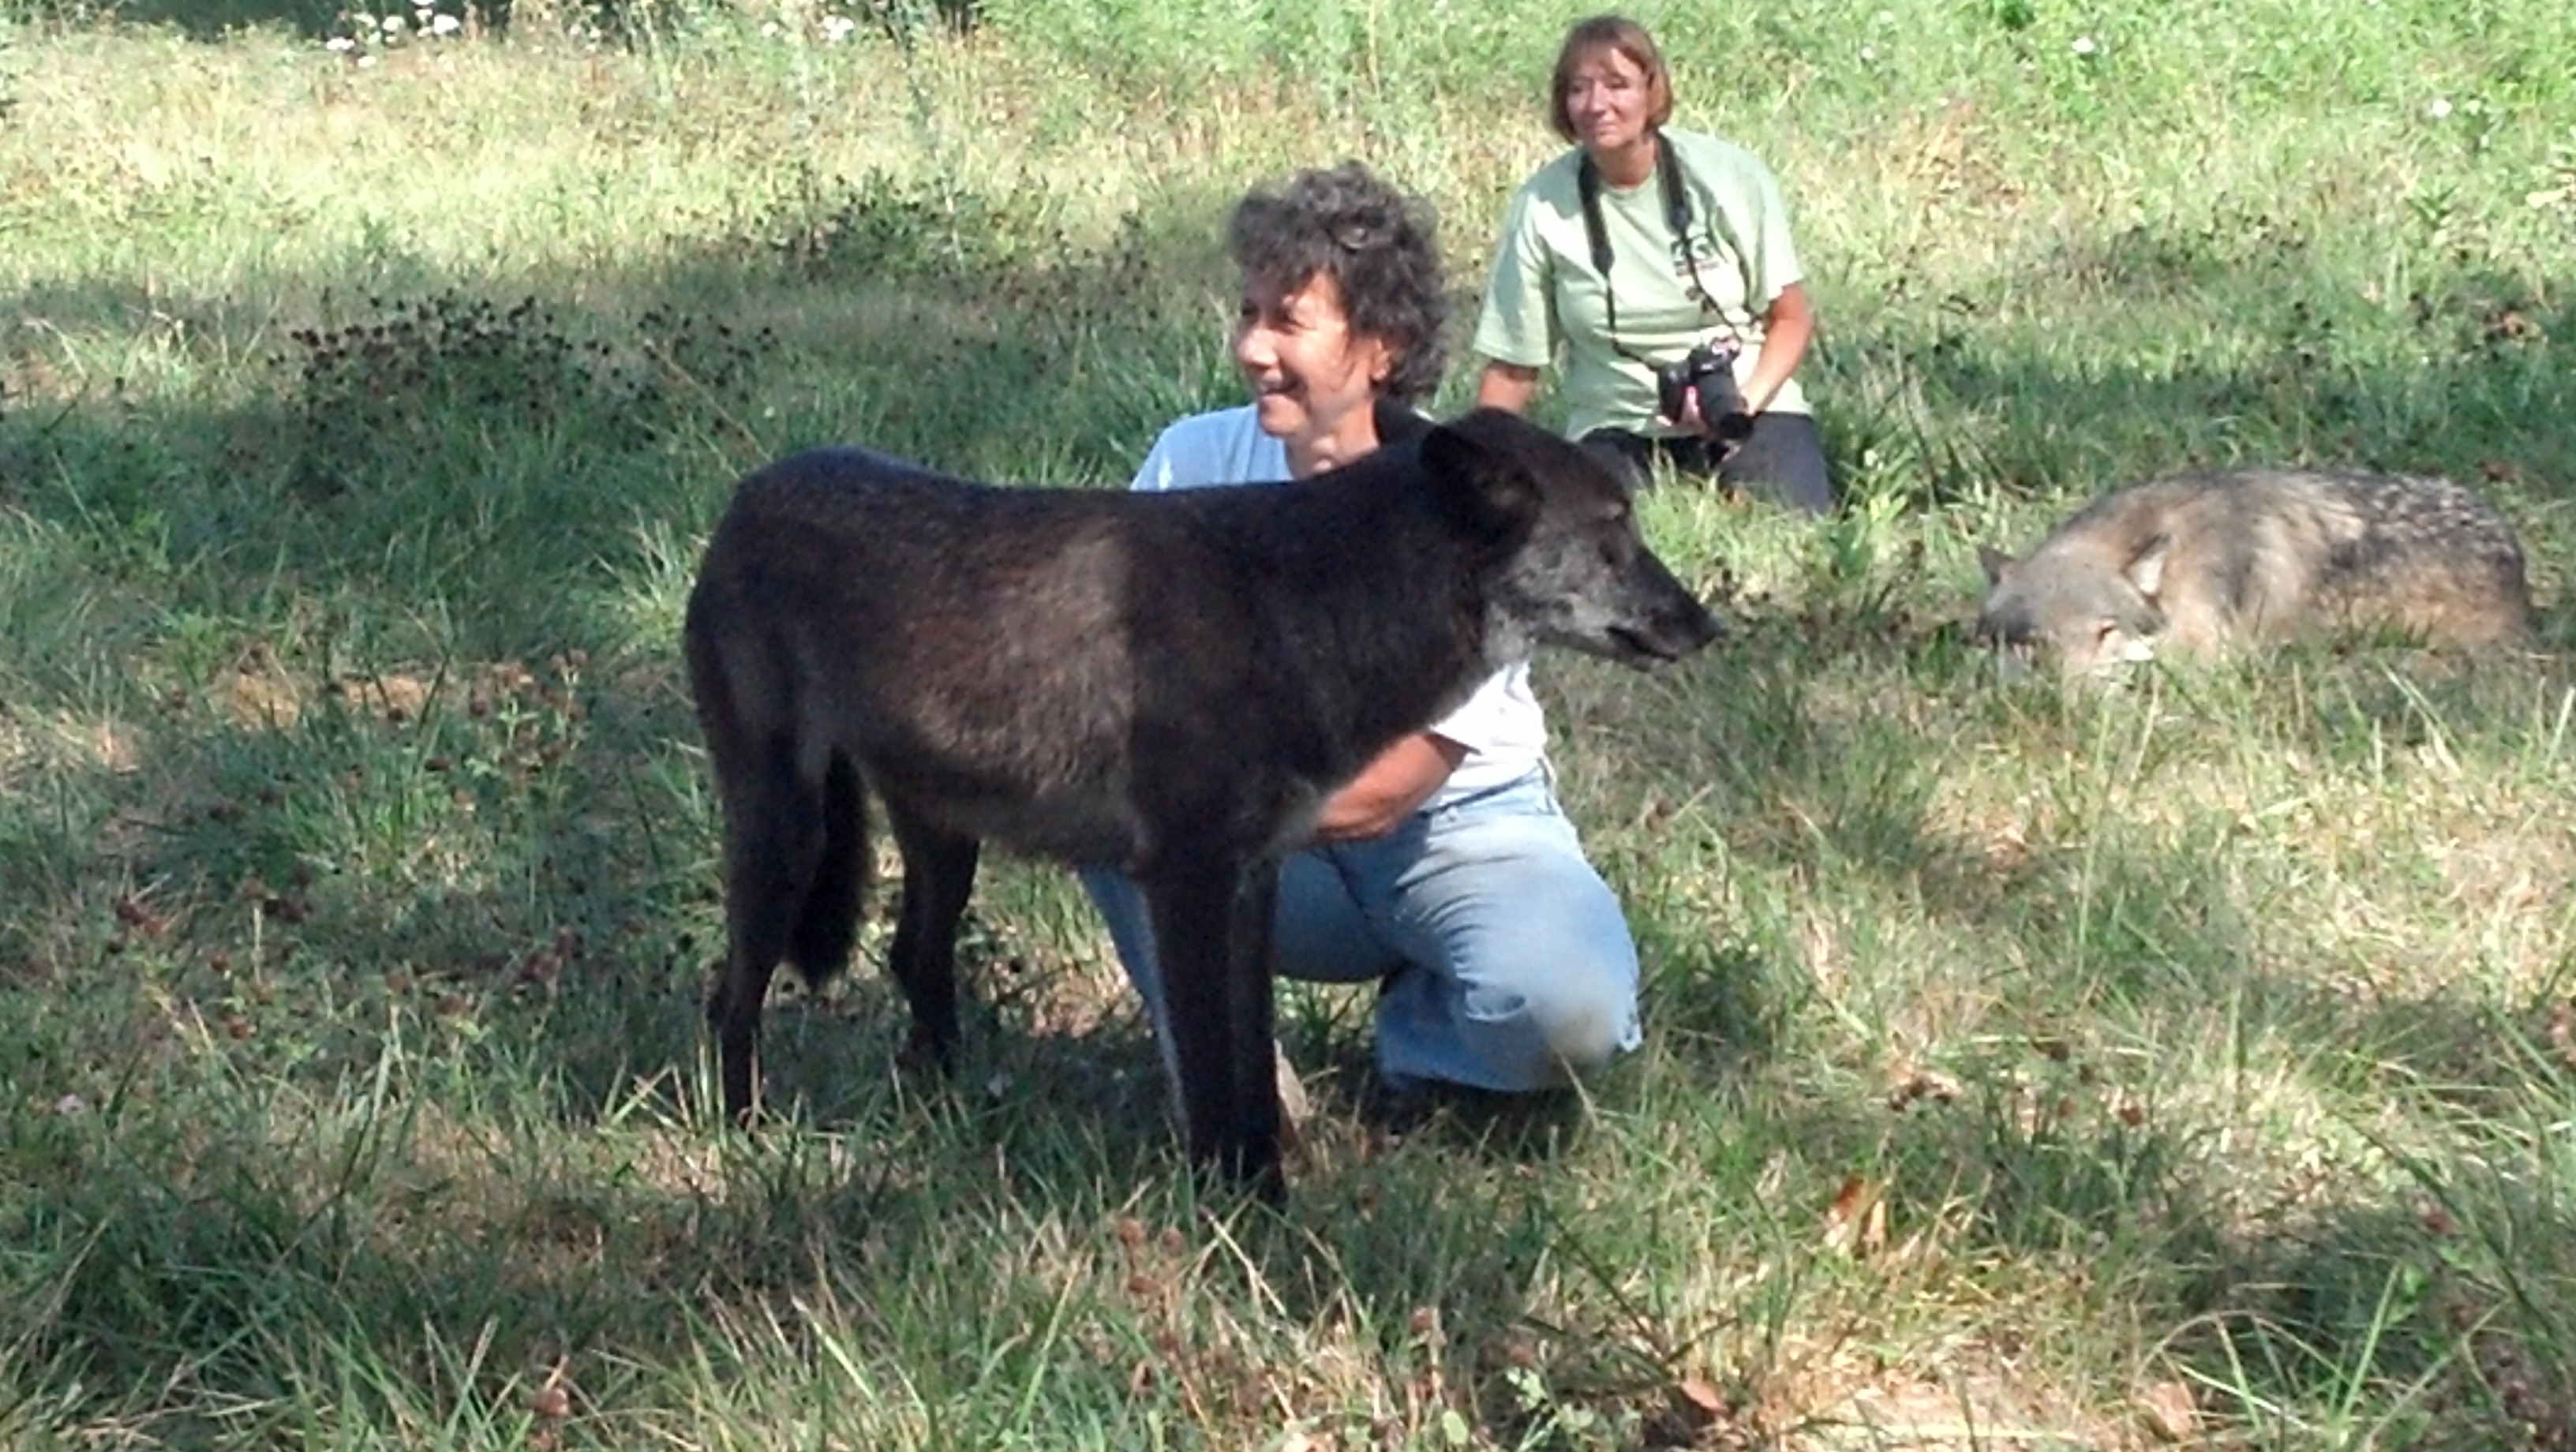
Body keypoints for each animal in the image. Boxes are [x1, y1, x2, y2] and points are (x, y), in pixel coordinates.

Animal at [685, 401, 1731, 1194]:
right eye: (1614, 532)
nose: (1707, 625)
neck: (1295, 602)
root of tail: (746, 495)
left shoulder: (1251, 880)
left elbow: (1252, 1071)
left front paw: (1266, 1199)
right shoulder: (1183, 881)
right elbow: (1212, 1064)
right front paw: (1230, 1214)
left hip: (945, 841)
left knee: (913, 958)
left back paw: (943, 1113)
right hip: (783, 834)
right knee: (732, 993)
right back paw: (746, 1137)